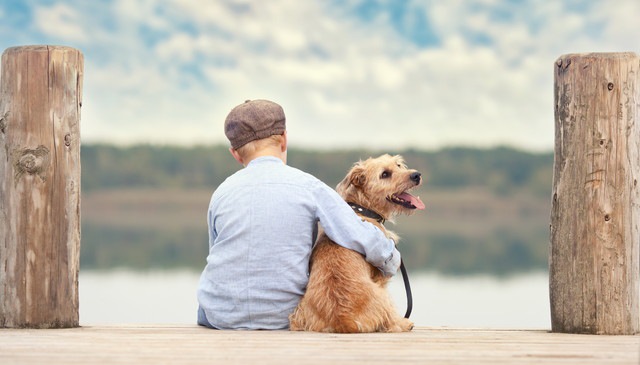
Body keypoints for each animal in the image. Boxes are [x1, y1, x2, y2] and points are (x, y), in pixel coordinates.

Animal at [290, 152, 424, 332]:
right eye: (385, 174)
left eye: (398, 165)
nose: (416, 175)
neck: (362, 209)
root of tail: (342, 319)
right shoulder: (381, 276)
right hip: (382, 294)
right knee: (389, 321)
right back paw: (403, 323)